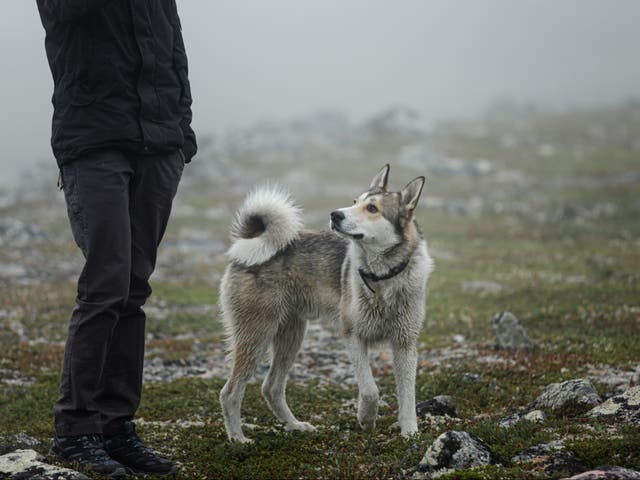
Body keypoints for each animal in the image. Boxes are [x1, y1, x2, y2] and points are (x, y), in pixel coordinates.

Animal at [218, 165, 432, 442]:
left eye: (372, 208)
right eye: (355, 202)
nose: (335, 215)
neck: (383, 277)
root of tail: (250, 241)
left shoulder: (405, 344)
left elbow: (407, 395)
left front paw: (410, 432)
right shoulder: (353, 336)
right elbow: (370, 390)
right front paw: (366, 418)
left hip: (291, 336)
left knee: (271, 388)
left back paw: (295, 426)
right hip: (256, 336)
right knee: (230, 393)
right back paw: (238, 439)